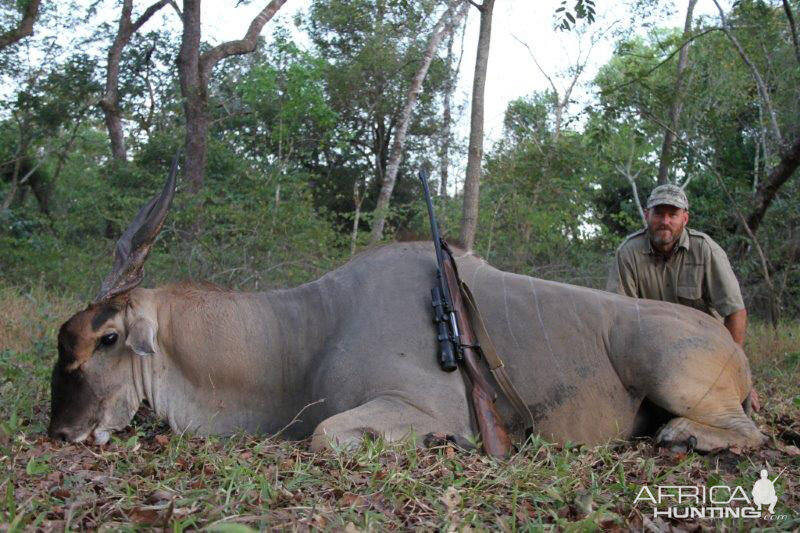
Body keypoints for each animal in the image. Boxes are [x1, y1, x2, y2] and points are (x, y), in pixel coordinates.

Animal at [47, 164, 764, 450]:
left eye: (106, 337)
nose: (61, 430)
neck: (305, 334)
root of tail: (733, 351)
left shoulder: (417, 406)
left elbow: (326, 436)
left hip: (666, 367)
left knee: (747, 432)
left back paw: (685, 435)